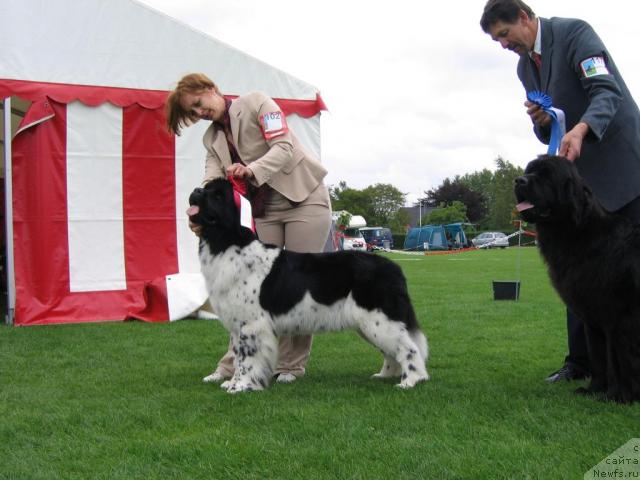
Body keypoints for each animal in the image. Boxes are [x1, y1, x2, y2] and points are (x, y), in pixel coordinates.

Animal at [185, 178, 430, 392]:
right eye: (206, 188)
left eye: (218, 195)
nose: (195, 190)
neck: (226, 242)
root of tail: (394, 267)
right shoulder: (237, 324)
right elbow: (237, 356)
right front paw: (232, 382)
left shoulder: (251, 325)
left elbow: (247, 358)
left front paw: (241, 387)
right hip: (369, 324)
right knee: (391, 351)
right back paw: (385, 375)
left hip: (379, 319)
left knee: (409, 349)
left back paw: (411, 381)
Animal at [516, 156, 640, 404]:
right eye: (529, 171)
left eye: (546, 175)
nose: (519, 180)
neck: (580, 234)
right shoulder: (591, 317)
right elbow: (599, 357)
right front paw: (594, 390)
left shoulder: (619, 317)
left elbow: (619, 360)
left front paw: (620, 396)